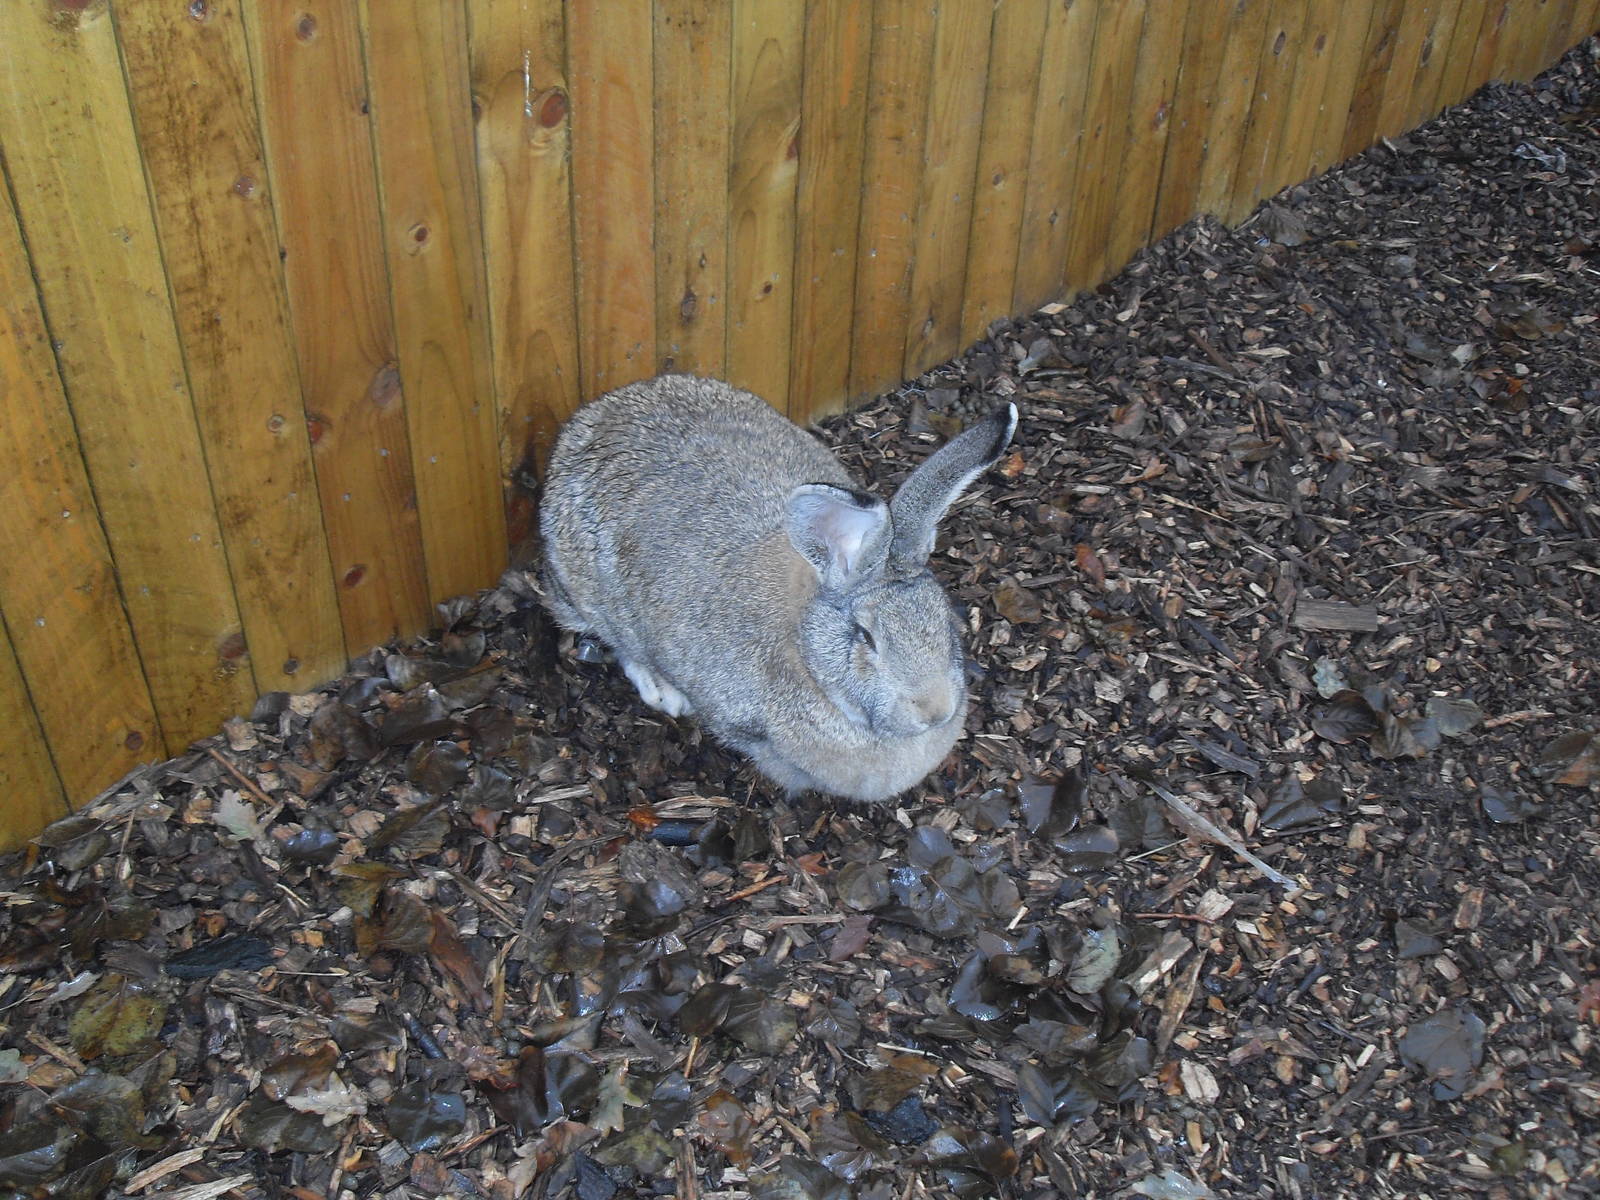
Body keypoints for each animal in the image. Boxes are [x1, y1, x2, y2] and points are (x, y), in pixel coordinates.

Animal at [538, 374, 1017, 803]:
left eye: (944, 618)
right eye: (865, 637)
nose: (935, 711)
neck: (808, 656)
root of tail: (589, 422)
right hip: (595, 597)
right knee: (624, 646)